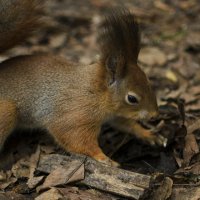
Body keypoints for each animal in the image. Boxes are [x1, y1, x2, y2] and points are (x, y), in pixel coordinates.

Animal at [0, 0, 167, 166]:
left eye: (149, 82)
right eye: (132, 98)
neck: (96, 92)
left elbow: (124, 123)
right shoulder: (76, 114)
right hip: (6, 112)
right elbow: (75, 138)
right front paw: (103, 157)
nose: (155, 115)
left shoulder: (114, 113)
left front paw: (148, 134)